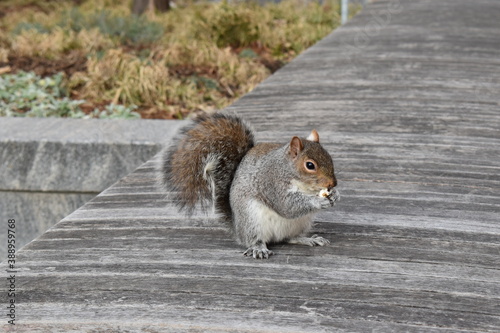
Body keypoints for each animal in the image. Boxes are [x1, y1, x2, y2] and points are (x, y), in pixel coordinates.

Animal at [160, 113, 340, 258]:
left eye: (330, 157)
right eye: (310, 165)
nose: (333, 183)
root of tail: (237, 228)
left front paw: (336, 194)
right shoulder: (271, 183)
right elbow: (287, 206)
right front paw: (319, 201)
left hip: (301, 223)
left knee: (289, 237)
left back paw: (307, 239)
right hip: (252, 219)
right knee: (255, 239)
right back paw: (258, 248)